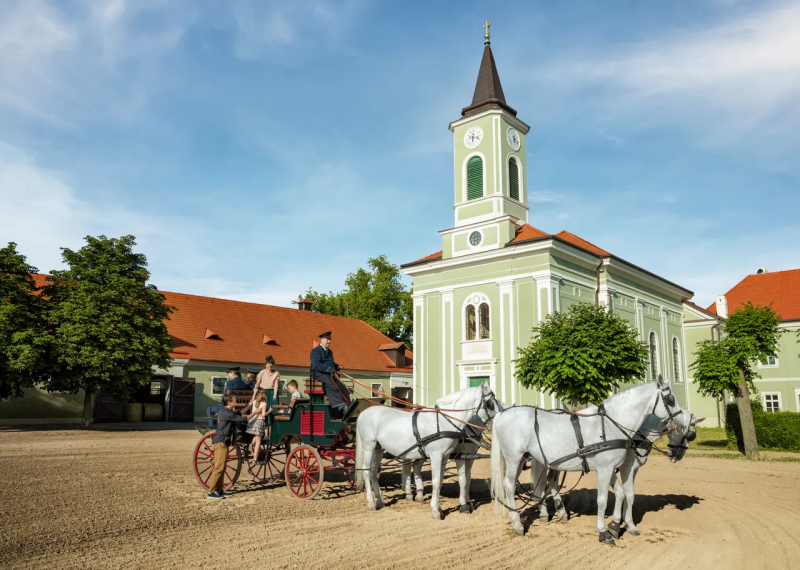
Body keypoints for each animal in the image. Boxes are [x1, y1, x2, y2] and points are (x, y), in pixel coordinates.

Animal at [354, 382, 496, 520]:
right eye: (490, 403)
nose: (496, 423)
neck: (443, 422)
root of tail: (364, 413)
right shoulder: (438, 456)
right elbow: (438, 481)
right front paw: (436, 511)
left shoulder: (445, 457)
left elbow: (442, 481)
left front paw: (440, 508)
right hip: (369, 447)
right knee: (366, 472)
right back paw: (371, 503)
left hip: (378, 449)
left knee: (374, 472)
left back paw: (380, 500)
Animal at [490, 378, 684, 540]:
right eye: (671, 399)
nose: (681, 424)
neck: (611, 424)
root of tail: (501, 414)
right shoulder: (605, 469)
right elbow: (602, 499)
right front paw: (603, 532)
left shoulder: (609, 468)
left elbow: (620, 493)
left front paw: (614, 526)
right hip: (514, 458)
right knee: (509, 485)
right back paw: (517, 525)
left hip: (524, 459)